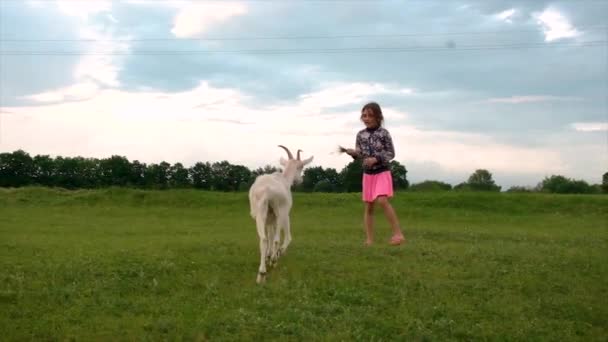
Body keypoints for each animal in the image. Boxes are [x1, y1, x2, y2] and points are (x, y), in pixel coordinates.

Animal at [247, 144, 314, 284]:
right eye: (301, 166)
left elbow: (270, 235)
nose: (300, 180)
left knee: (263, 239)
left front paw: (268, 256)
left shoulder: (269, 218)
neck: (284, 179)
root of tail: (267, 190)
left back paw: (261, 273)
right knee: (278, 239)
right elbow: (287, 237)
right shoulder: (285, 215)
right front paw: (276, 255)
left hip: (260, 213)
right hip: (280, 212)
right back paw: (273, 261)